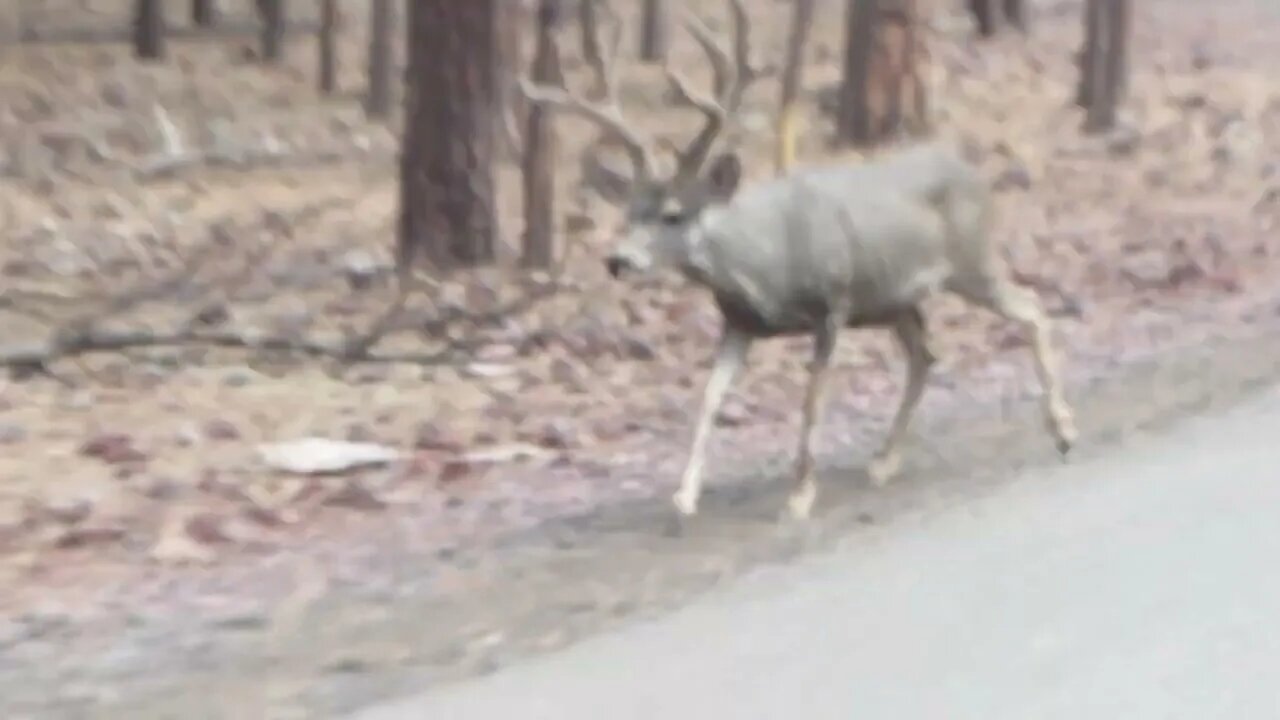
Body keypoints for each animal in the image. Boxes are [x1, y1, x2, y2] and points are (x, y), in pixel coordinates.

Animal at [521, 0, 1078, 522]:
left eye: (673, 215)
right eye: (628, 213)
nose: (619, 260)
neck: (766, 265)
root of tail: (972, 171)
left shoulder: (833, 303)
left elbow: (811, 400)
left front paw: (800, 494)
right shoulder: (738, 323)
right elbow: (709, 398)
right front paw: (683, 497)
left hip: (971, 261)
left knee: (1030, 308)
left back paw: (1063, 430)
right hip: (895, 300)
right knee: (925, 356)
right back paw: (883, 461)